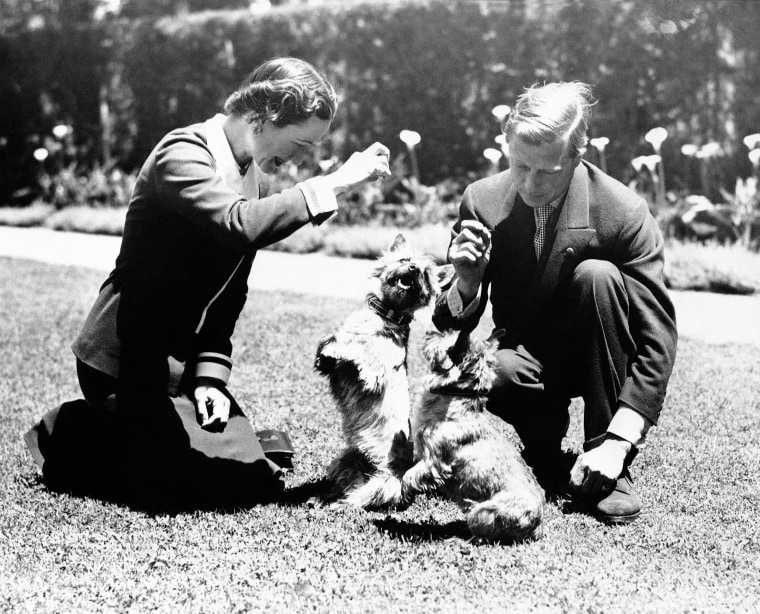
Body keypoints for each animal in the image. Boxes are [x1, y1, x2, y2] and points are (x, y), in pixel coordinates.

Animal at [314, 236, 448, 510]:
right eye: (404, 260)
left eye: (425, 274)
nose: (413, 269)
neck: (386, 315)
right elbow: (332, 344)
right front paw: (328, 348)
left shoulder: (374, 373)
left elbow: (363, 350)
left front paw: (344, 346)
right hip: (344, 460)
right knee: (343, 487)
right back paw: (322, 498)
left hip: (381, 484)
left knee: (356, 499)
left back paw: (334, 505)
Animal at [404, 330, 548, 540]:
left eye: (449, 341)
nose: (431, 331)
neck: (457, 398)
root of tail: (539, 526)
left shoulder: (434, 462)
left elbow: (409, 476)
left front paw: (402, 495)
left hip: (483, 511)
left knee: (481, 536)